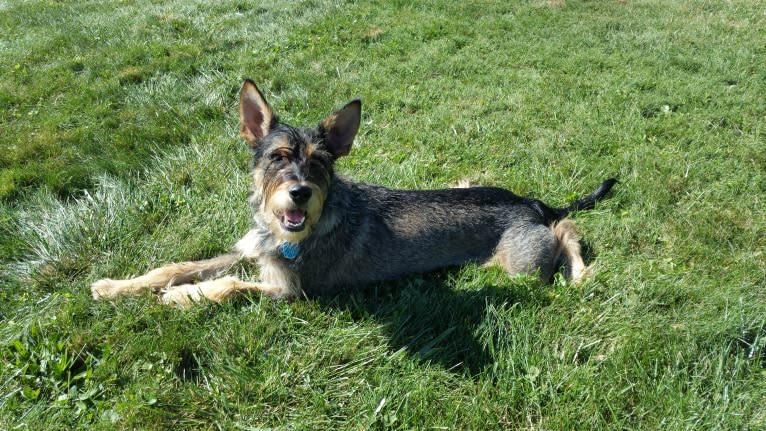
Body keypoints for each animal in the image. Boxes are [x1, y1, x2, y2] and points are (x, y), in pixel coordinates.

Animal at [91, 79, 616, 306]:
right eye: (278, 157)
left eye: (320, 163)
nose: (299, 194)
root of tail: (530, 203)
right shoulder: (249, 252)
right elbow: (176, 265)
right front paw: (114, 286)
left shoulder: (291, 290)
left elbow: (228, 285)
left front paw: (184, 297)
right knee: (564, 222)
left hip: (520, 265)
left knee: (567, 229)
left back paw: (581, 273)